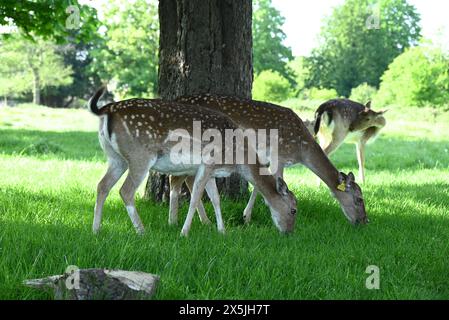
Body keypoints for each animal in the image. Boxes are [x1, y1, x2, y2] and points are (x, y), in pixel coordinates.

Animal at [88, 87, 298, 235]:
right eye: (294, 210)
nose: (288, 232)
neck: (237, 159)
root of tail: (106, 109)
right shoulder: (208, 163)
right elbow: (196, 197)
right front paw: (184, 232)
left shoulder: (212, 171)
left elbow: (215, 198)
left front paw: (222, 231)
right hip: (140, 156)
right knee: (125, 191)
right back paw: (141, 231)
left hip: (116, 158)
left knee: (102, 185)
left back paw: (96, 230)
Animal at [172, 94, 368, 225]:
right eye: (359, 199)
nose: (365, 221)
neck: (301, 149)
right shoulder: (278, 156)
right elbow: (272, 184)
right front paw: (248, 216)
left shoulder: (269, 159)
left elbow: (260, 186)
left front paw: (247, 216)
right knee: (186, 179)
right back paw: (200, 221)